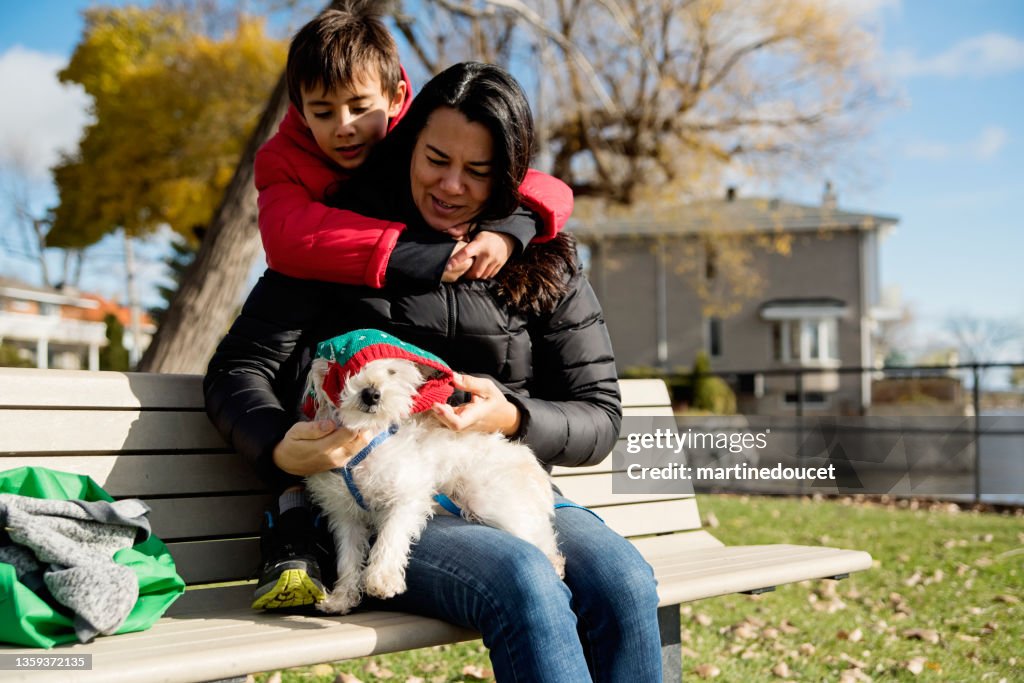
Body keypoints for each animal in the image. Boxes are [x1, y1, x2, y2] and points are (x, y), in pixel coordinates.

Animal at [303, 352, 565, 614]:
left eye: (392, 372)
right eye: (348, 370)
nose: (371, 393)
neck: (367, 441)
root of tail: (527, 461)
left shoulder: (407, 496)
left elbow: (390, 537)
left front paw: (382, 578)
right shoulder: (345, 515)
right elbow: (348, 557)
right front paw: (341, 598)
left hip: (488, 499)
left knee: (538, 532)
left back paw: (554, 561)